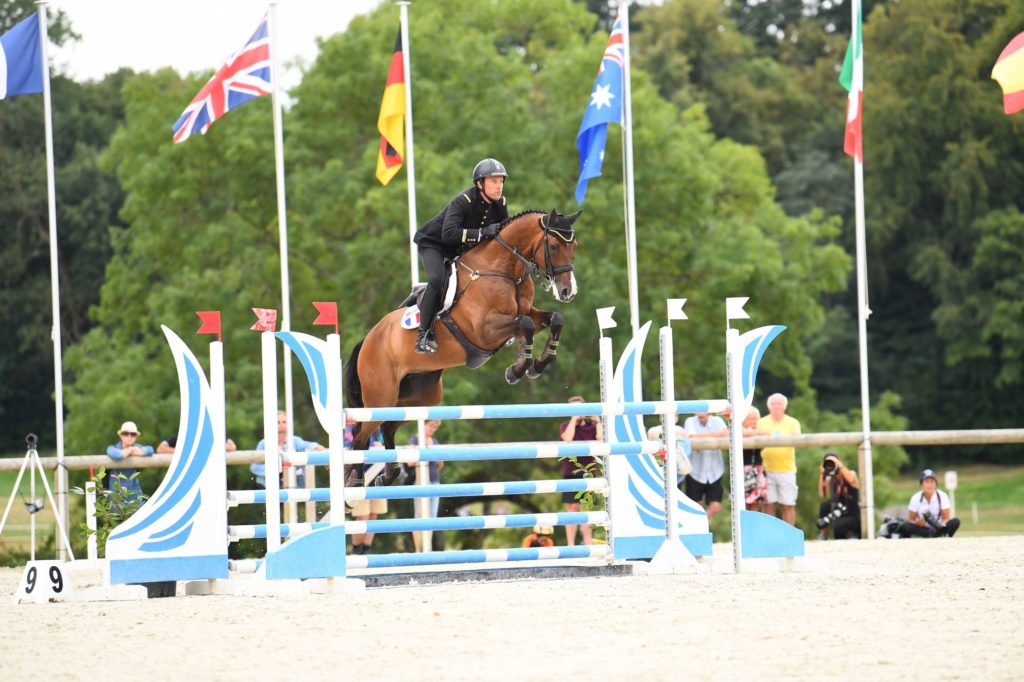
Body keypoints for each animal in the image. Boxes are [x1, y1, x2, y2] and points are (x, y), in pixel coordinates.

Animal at [344, 206, 581, 483]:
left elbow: (552, 319)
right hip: (381, 394)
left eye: (573, 245)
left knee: (387, 426)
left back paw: (389, 474)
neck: (504, 270)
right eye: (553, 246)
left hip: (419, 397)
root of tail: (368, 339)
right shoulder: (485, 330)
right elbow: (525, 325)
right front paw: (519, 369)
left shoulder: (526, 314)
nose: (568, 291)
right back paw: (356, 481)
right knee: (360, 437)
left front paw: (539, 363)